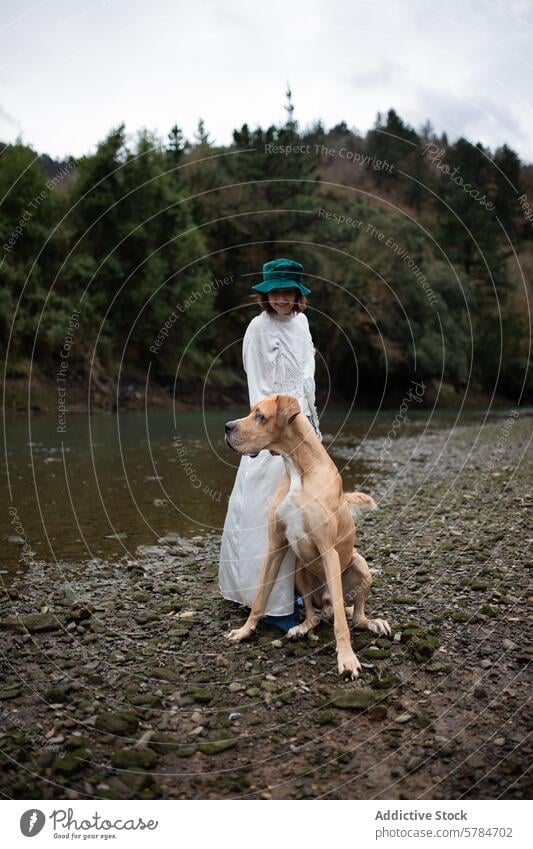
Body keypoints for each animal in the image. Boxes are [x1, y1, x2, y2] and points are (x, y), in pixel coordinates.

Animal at [222, 394, 388, 680]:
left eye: (260, 416)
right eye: (251, 412)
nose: (227, 427)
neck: (297, 468)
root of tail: (327, 603)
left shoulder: (328, 550)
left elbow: (342, 623)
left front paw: (347, 659)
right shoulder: (275, 545)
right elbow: (259, 597)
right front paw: (245, 631)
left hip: (359, 566)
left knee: (353, 616)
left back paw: (371, 622)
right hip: (300, 571)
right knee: (313, 615)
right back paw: (300, 628)